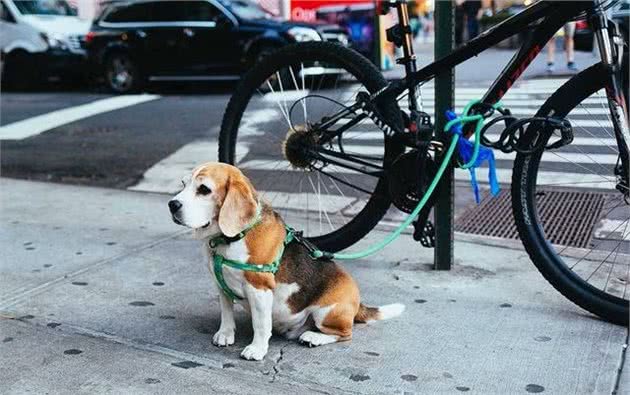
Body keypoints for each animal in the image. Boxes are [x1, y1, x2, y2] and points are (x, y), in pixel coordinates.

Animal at [169, 162, 404, 360]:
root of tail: (358, 302)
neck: (229, 239)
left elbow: (261, 324)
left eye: (204, 189)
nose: (172, 204)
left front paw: (257, 349)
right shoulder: (221, 285)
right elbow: (226, 313)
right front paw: (226, 334)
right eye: (183, 184)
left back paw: (313, 337)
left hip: (326, 312)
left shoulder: (259, 289)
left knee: (345, 333)